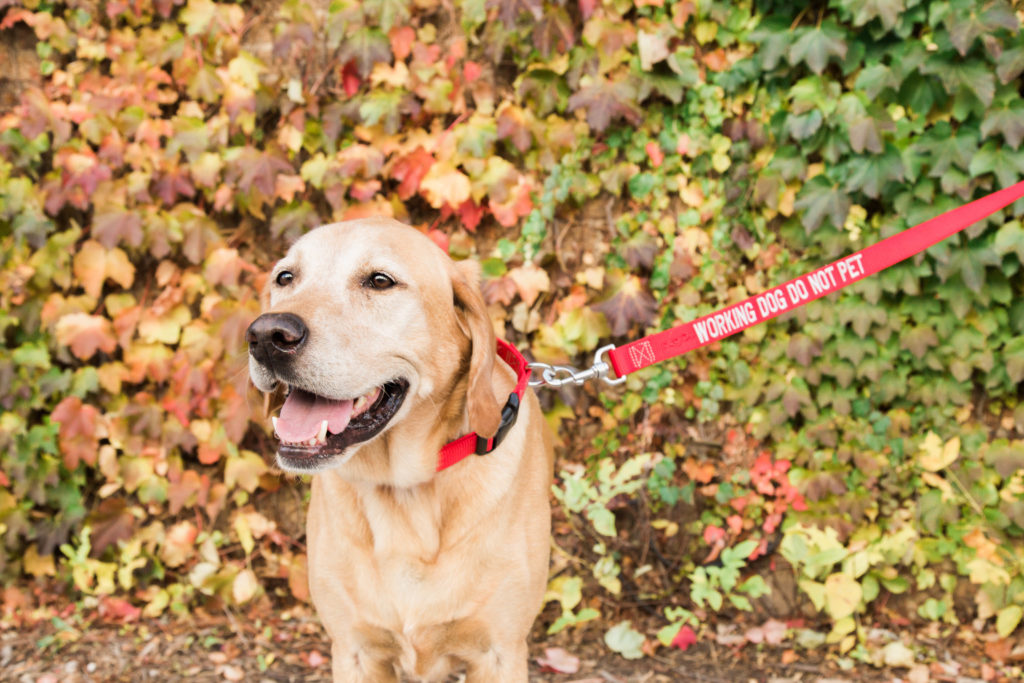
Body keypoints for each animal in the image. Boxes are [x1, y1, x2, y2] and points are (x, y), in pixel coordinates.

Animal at [246, 220, 552, 683]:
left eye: (379, 281)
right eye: (286, 277)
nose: (266, 335)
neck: (404, 491)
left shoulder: (499, 653)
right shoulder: (354, 650)